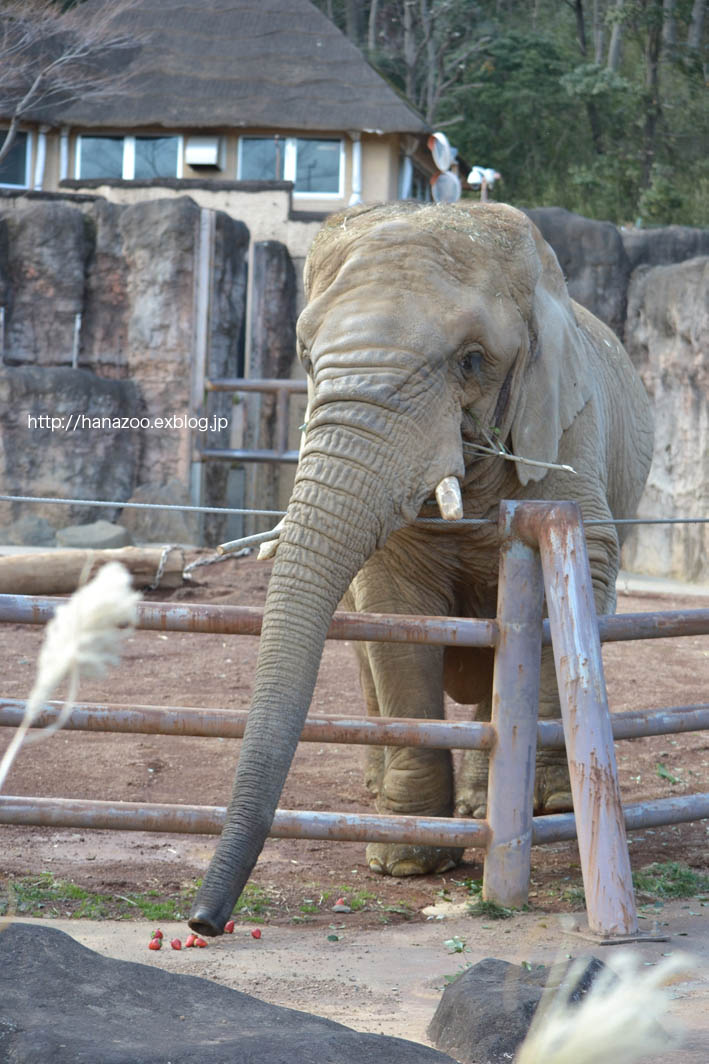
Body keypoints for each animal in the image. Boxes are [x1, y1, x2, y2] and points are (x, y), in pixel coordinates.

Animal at [187, 197, 651, 932]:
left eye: (472, 360)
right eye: (306, 356)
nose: (203, 923)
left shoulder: (567, 436)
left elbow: (567, 582)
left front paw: (538, 807)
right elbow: (394, 613)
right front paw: (405, 862)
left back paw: (497, 806)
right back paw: (388, 793)